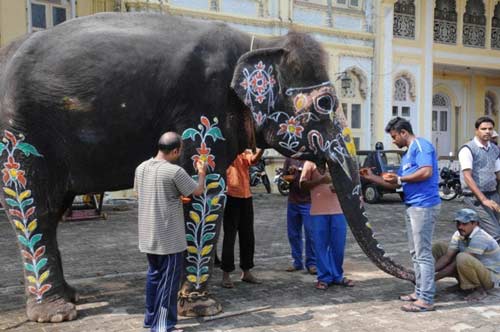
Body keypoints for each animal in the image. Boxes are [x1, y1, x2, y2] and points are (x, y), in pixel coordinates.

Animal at [0, 12, 414, 322]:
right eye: (326, 103)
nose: (412, 285)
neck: (258, 42)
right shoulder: (202, 110)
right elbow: (207, 193)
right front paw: (204, 308)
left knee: (52, 210)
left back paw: (71, 296)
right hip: (20, 134)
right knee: (34, 205)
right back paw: (56, 313)